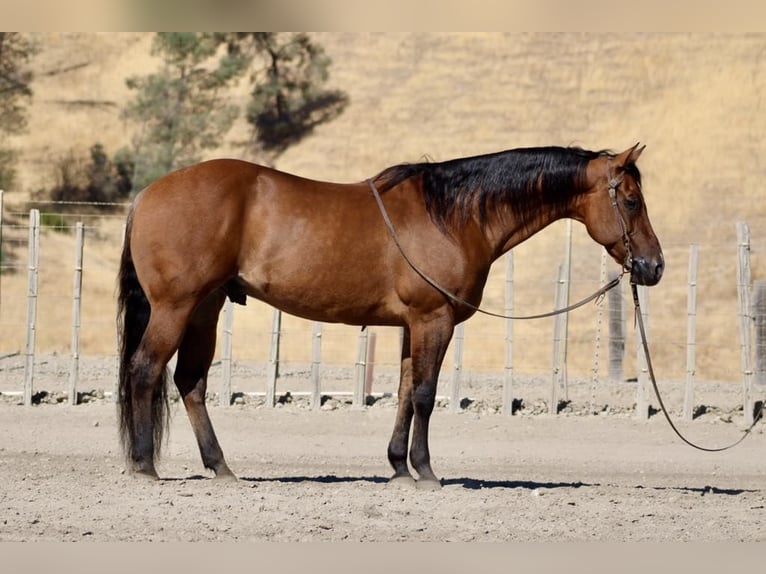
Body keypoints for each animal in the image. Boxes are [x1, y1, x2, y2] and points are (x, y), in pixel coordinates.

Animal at [117, 142, 664, 488]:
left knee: (189, 382)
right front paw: (425, 471)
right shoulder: (432, 321)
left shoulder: (409, 327)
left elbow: (404, 393)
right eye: (631, 200)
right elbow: (424, 396)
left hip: (204, 309)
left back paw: (221, 467)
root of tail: (146, 195)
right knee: (145, 370)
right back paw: (145, 466)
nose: (654, 266)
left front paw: (399, 467)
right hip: (176, 307)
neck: (454, 215)